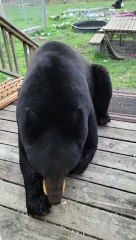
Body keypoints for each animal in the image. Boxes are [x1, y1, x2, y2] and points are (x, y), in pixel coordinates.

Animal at [16, 40, 112, 216]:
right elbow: (25, 160)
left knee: (104, 77)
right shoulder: (23, 121)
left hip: (98, 75)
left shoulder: (86, 114)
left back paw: (103, 116)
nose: (55, 200)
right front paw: (37, 203)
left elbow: (91, 143)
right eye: (43, 172)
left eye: (65, 171)